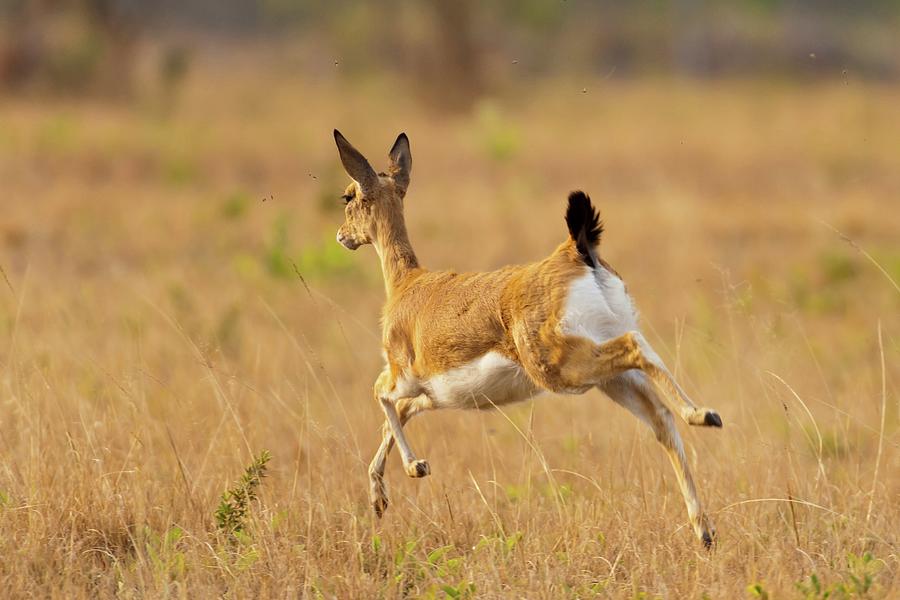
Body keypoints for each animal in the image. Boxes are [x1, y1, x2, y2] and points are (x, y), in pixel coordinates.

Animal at [334, 129, 720, 548]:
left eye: (347, 196)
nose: (341, 236)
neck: (408, 286)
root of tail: (575, 250)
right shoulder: (430, 397)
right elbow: (397, 417)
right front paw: (380, 499)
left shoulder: (401, 378)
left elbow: (381, 397)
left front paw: (416, 468)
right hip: (609, 378)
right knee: (661, 417)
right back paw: (704, 524)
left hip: (564, 370)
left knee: (636, 347)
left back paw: (703, 416)